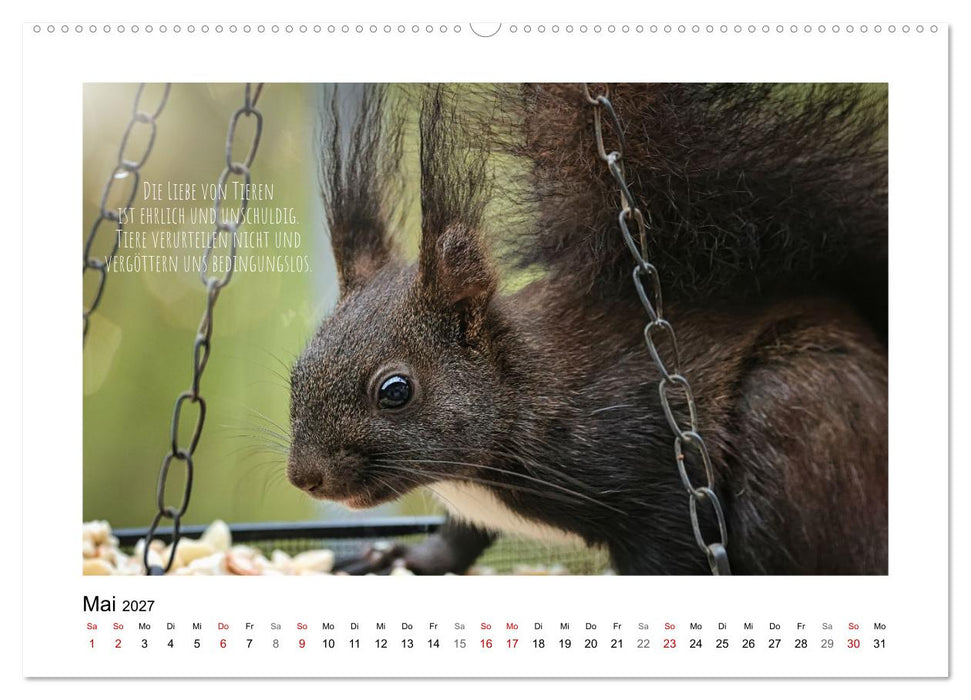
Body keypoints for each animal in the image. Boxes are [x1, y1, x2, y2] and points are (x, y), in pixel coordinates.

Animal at [286, 83, 888, 575]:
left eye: (395, 391)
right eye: (296, 372)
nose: (305, 479)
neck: (520, 389)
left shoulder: (651, 467)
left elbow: (672, 548)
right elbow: (461, 537)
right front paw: (406, 558)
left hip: (800, 419)